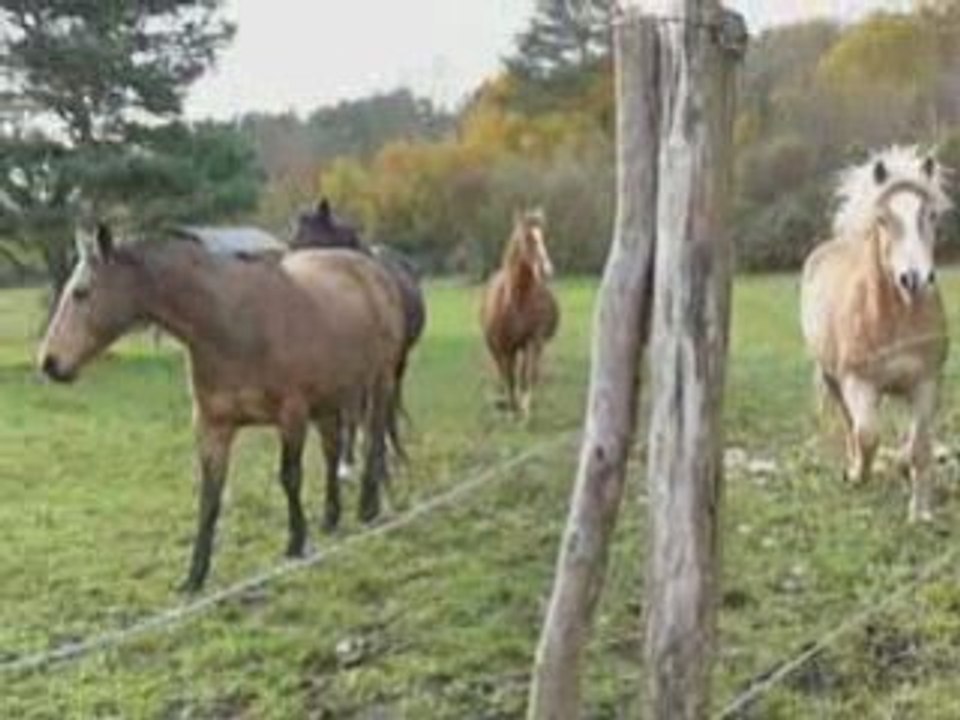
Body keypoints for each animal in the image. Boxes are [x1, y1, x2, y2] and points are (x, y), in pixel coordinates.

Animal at [38, 222, 406, 591]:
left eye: (81, 292)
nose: (49, 362)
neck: (229, 325)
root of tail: (374, 270)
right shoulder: (213, 426)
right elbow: (209, 497)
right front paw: (194, 575)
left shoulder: (291, 415)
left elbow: (290, 477)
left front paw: (295, 543)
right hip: (329, 397)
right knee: (333, 450)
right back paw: (331, 517)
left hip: (379, 382)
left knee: (373, 439)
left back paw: (368, 507)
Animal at [291, 198, 426, 477]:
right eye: (291, 244)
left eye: (315, 244)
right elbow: (349, 415)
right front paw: (347, 462)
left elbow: (367, 412)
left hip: (397, 364)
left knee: (389, 406)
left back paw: (395, 453)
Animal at [481, 209, 560, 418]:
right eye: (527, 238)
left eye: (543, 236)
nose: (547, 270)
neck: (516, 300)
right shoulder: (505, 346)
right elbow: (510, 377)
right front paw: (512, 409)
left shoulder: (533, 340)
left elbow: (528, 375)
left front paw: (525, 411)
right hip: (497, 348)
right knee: (504, 372)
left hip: (521, 347)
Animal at [801, 146, 953, 522]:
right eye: (884, 219)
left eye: (930, 215)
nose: (915, 279)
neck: (895, 317)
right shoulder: (859, 382)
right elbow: (868, 434)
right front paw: (860, 474)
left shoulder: (925, 382)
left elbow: (919, 446)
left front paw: (919, 510)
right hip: (834, 380)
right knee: (850, 424)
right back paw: (855, 469)